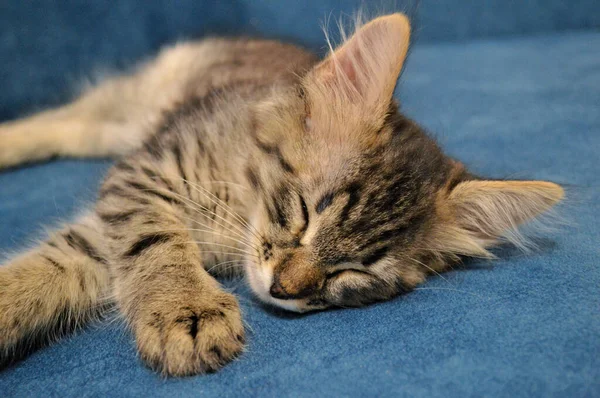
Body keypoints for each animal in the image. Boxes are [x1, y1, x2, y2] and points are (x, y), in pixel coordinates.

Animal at [0, 14, 564, 376]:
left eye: (354, 272)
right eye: (305, 212)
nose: (282, 290)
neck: (242, 202)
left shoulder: (109, 225)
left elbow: (45, 274)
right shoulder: (145, 174)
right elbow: (156, 243)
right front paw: (188, 309)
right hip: (132, 106)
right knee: (62, 118)